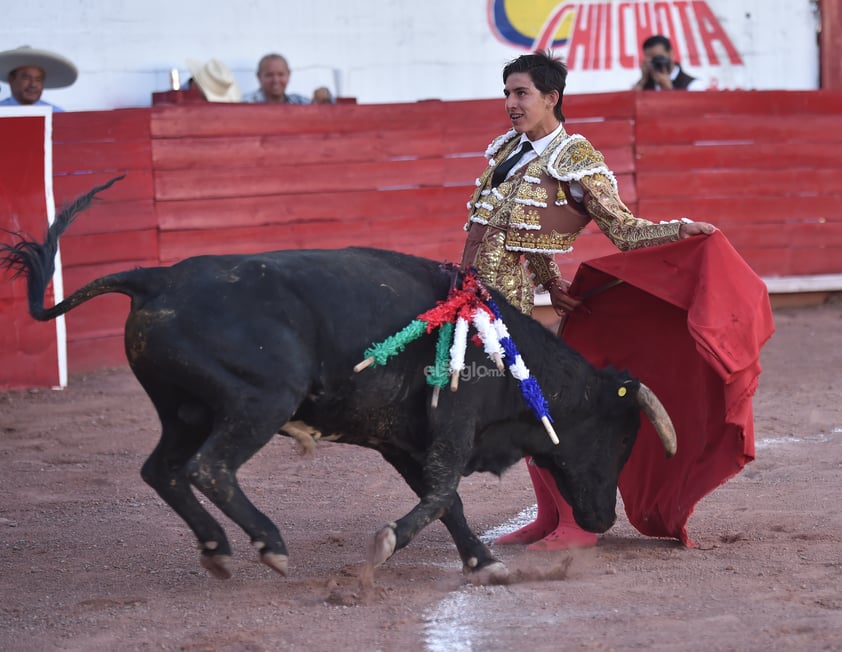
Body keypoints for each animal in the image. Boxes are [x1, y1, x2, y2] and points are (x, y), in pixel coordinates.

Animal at [0, 180, 668, 584]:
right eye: (621, 438)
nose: (603, 520)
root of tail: (157, 278)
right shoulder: (455, 422)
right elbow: (442, 491)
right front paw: (390, 543)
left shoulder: (403, 440)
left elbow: (445, 498)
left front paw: (481, 561)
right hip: (261, 401)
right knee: (209, 468)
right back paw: (269, 544)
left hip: (184, 409)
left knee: (162, 469)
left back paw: (217, 551)